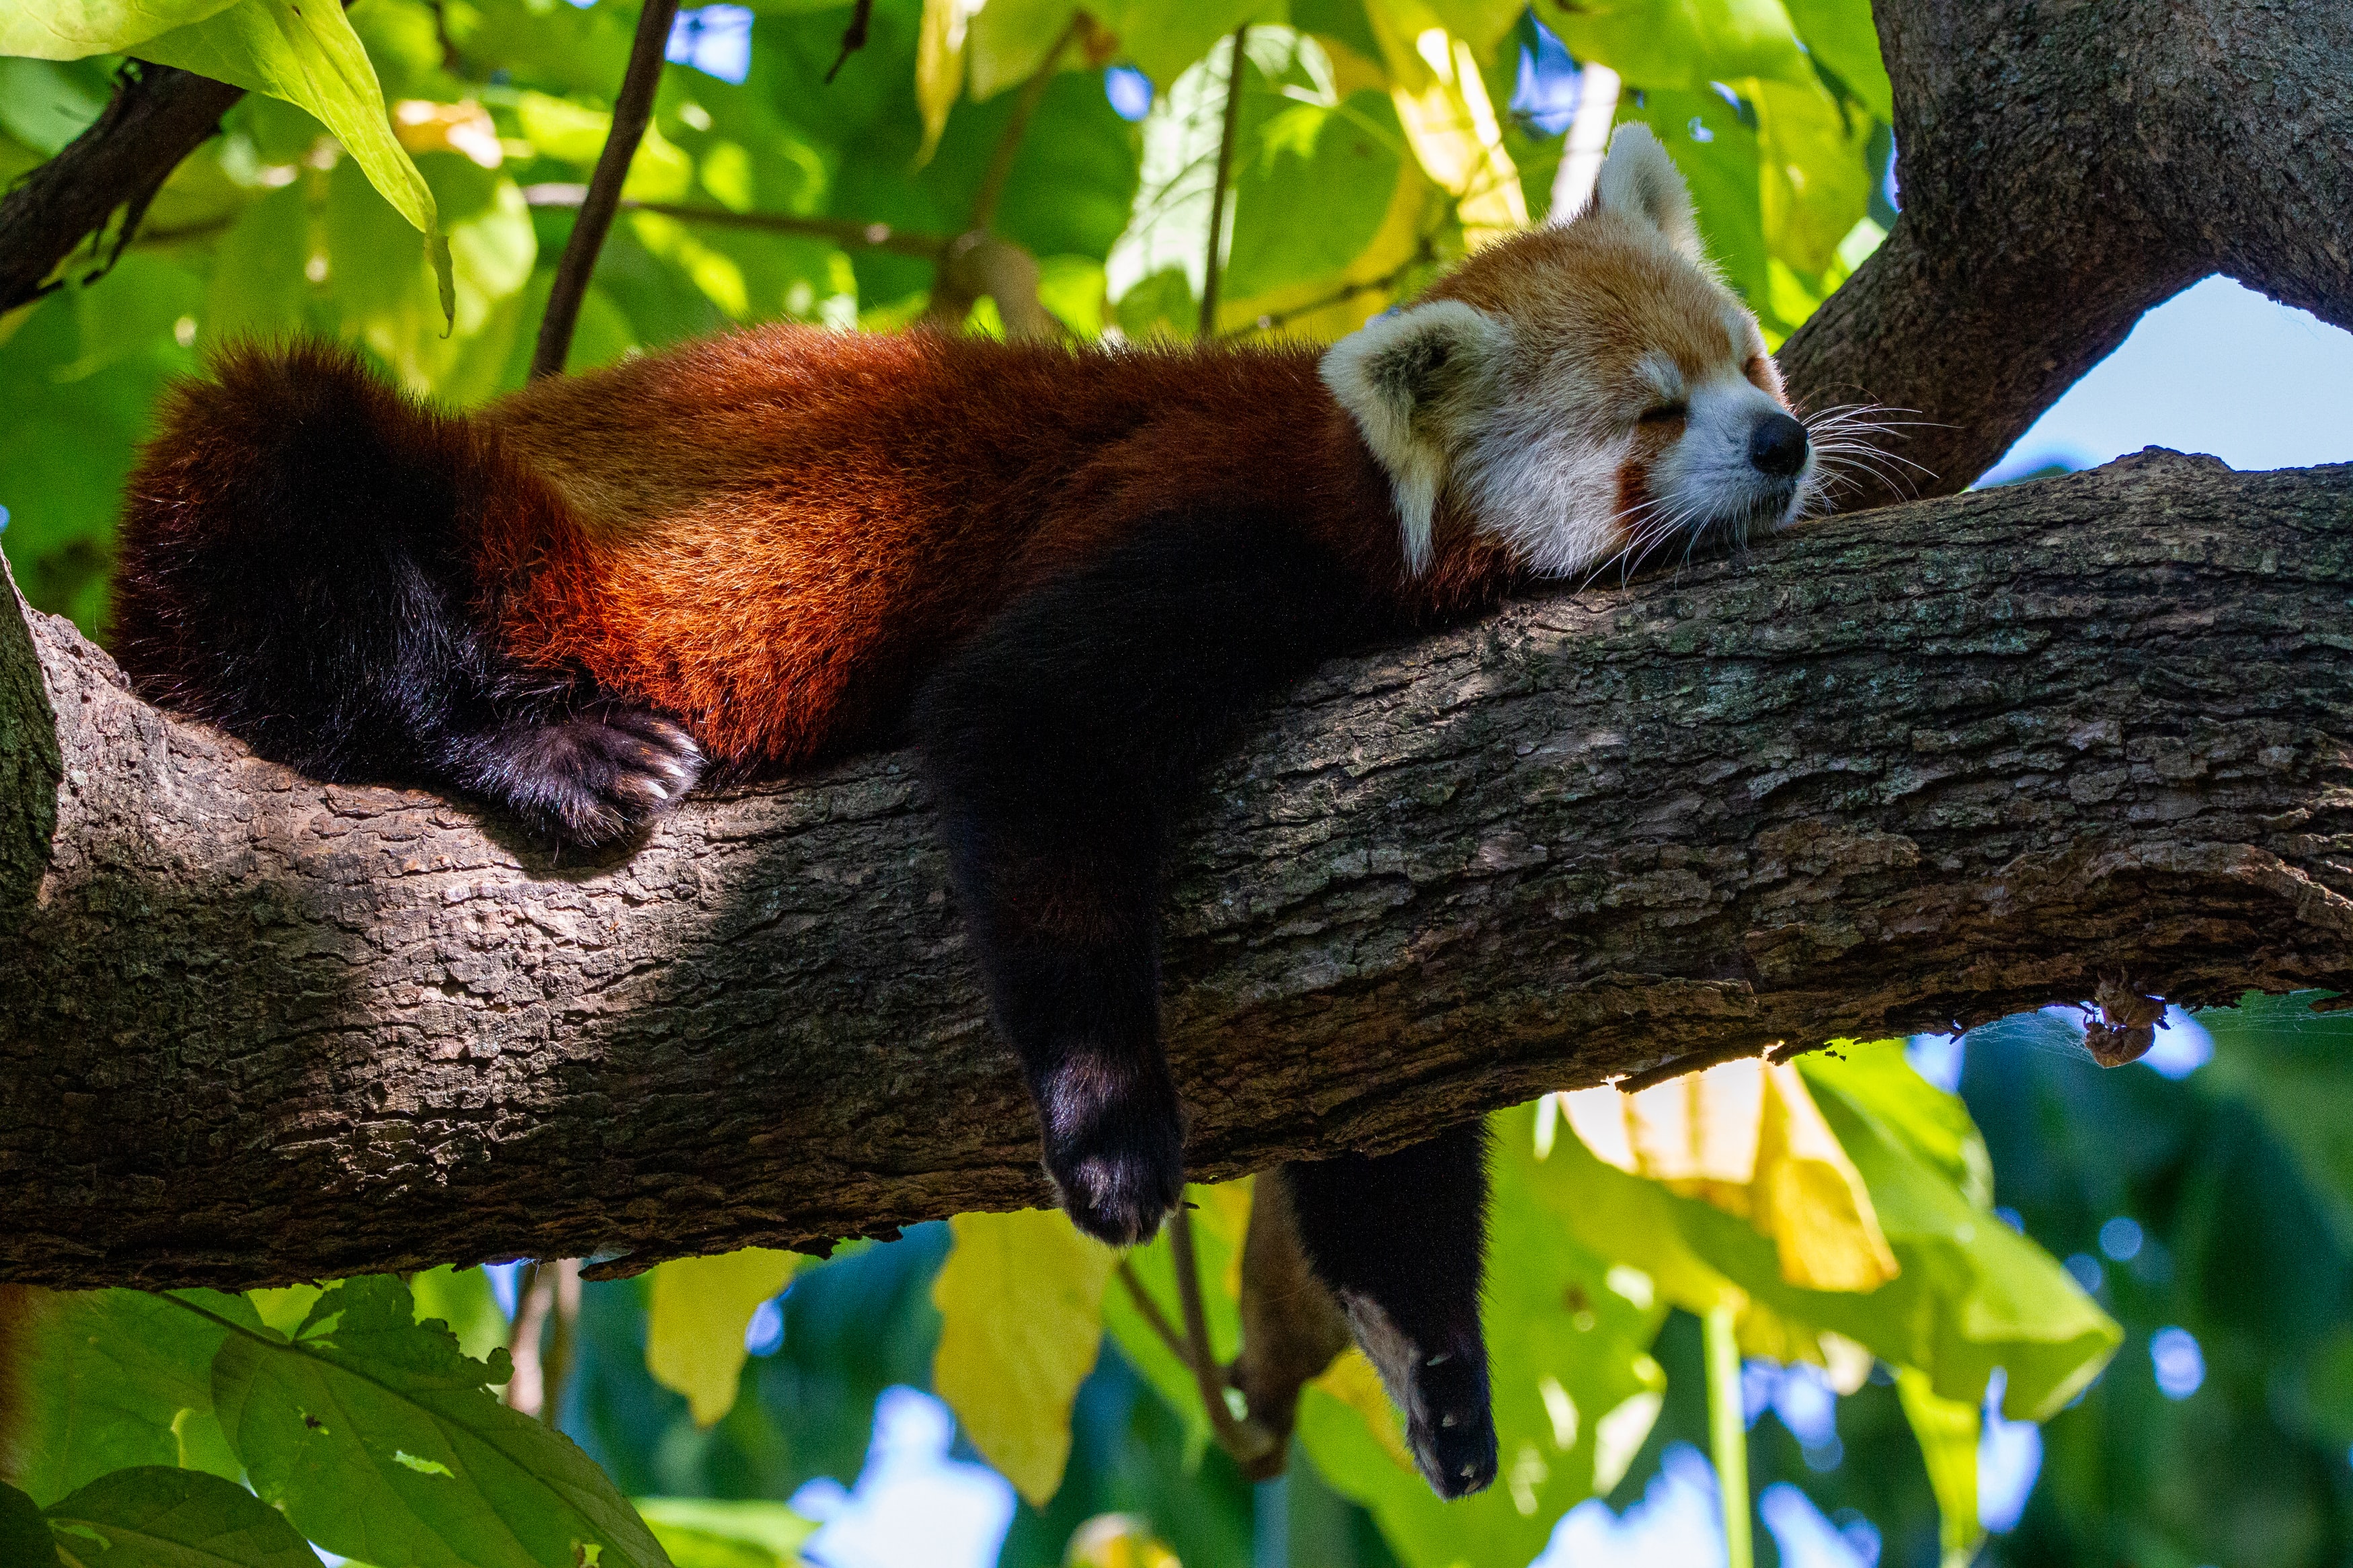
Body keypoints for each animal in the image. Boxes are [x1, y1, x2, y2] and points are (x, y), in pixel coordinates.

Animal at [101, 128, 1817, 1504]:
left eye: (1751, 364)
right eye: (1653, 414)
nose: (1788, 440)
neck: (1366, 489)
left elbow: (1390, 1094)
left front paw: (1431, 1355)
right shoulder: (1192, 520)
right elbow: (1020, 733)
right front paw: (1113, 1134)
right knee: (290, 457)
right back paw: (538, 745)